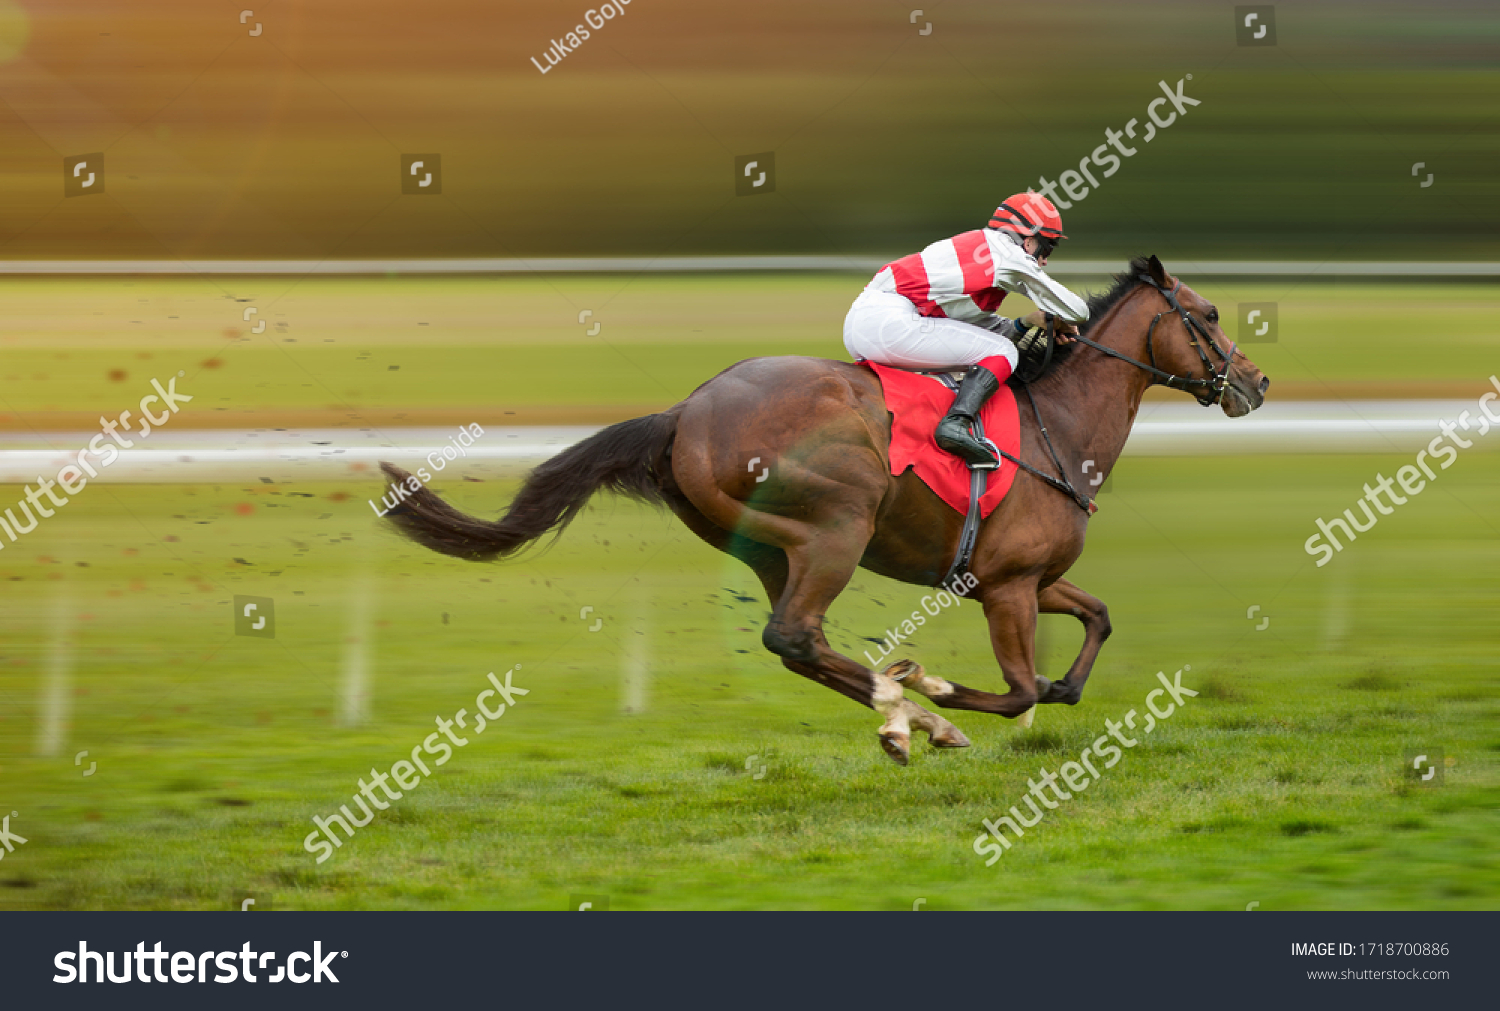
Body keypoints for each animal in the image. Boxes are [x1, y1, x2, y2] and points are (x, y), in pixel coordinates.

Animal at [378, 255, 1269, 765]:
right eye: (1210, 316)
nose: (1257, 382)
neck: (1061, 426)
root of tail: (686, 411)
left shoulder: (1024, 577)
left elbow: (1095, 623)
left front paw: (1026, 689)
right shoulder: (1009, 585)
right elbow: (1019, 690)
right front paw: (941, 696)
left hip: (770, 548)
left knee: (797, 643)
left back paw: (902, 714)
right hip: (837, 525)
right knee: (796, 635)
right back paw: (915, 713)